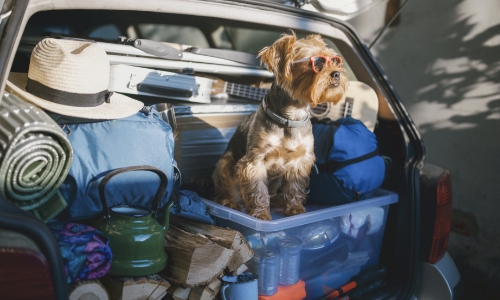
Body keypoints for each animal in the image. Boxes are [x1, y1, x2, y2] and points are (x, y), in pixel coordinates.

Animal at [211, 31, 348, 220]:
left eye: (335, 60)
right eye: (316, 62)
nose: (336, 74)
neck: (291, 117)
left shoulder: (300, 160)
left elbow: (294, 186)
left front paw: (294, 208)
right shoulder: (255, 160)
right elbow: (258, 189)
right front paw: (260, 213)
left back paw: (276, 199)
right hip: (225, 162)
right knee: (226, 188)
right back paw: (230, 201)